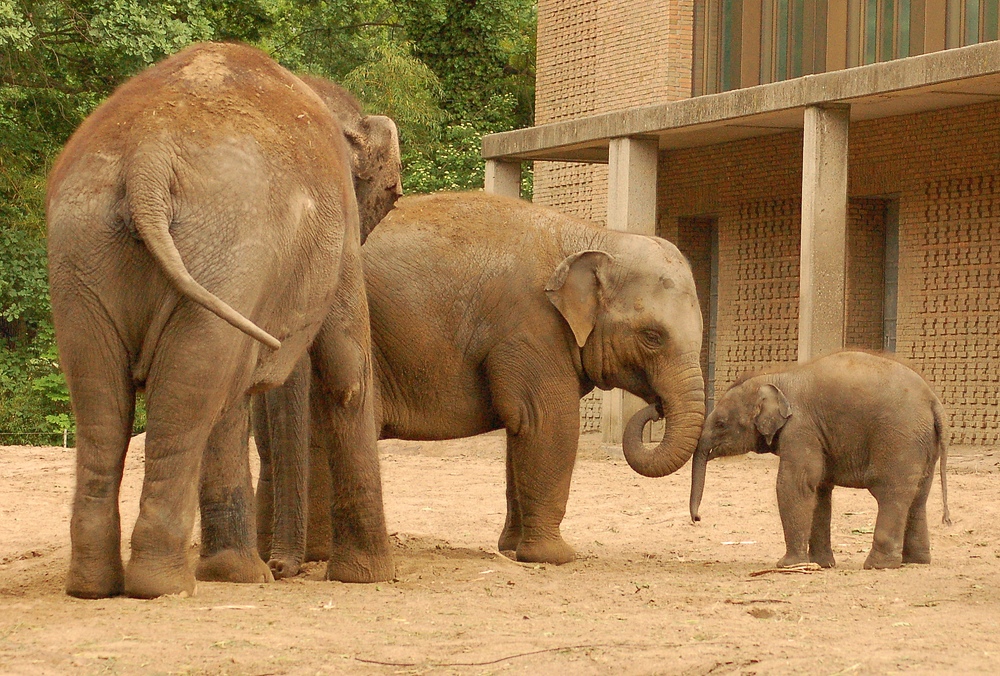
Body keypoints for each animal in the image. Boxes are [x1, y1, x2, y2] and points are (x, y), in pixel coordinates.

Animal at [260, 191, 704, 576]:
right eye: (652, 336)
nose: (656, 408)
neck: (595, 235)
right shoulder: (530, 326)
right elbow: (545, 422)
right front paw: (556, 557)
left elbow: (521, 431)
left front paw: (511, 549)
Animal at [692, 354, 948, 572]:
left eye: (721, 424)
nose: (697, 518)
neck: (778, 377)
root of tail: (933, 401)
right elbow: (819, 489)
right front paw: (821, 564)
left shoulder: (801, 427)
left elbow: (796, 483)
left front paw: (788, 565)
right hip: (923, 443)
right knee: (918, 496)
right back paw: (915, 561)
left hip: (899, 439)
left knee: (891, 494)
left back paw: (878, 565)